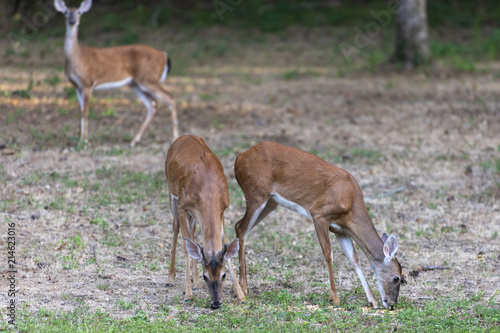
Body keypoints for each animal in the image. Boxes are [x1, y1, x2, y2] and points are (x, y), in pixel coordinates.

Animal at [54, 0, 179, 147]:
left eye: (79, 12)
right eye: (65, 12)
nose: (72, 21)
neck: (76, 57)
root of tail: (164, 55)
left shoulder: (87, 82)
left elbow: (85, 112)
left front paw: (85, 141)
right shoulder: (76, 86)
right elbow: (80, 111)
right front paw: (80, 139)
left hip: (148, 78)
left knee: (170, 97)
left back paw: (174, 137)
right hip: (135, 83)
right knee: (153, 104)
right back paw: (134, 141)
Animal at [166, 135, 246, 308]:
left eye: (223, 275)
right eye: (205, 276)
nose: (215, 303)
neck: (207, 192)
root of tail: (183, 137)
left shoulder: (222, 209)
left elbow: (225, 245)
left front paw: (240, 295)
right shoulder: (182, 205)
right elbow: (186, 247)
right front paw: (188, 293)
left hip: (193, 215)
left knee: (192, 232)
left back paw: (195, 283)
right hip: (172, 194)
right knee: (175, 227)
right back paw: (171, 279)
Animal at [235, 141, 406, 310]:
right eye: (397, 278)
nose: (392, 304)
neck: (351, 202)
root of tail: (239, 157)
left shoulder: (341, 229)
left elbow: (354, 259)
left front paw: (373, 301)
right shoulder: (319, 214)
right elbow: (328, 254)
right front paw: (335, 298)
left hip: (271, 202)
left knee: (238, 226)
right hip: (256, 192)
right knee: (241, 228)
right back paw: (243, 289)